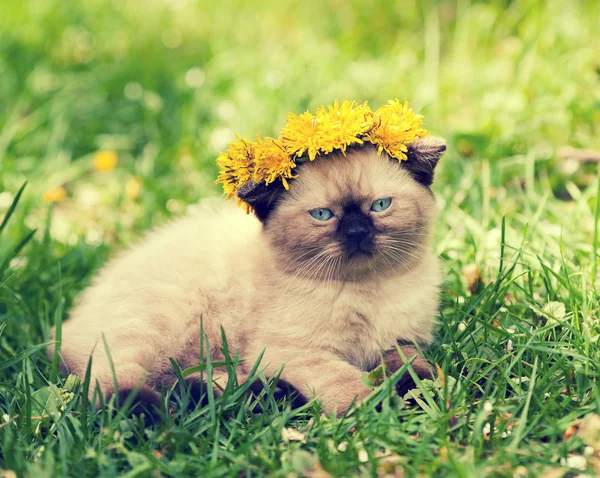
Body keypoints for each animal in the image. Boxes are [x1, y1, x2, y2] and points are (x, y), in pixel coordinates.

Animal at [52, 135, 446, 414]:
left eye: (380, 205)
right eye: (322, 215)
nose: (357, 232)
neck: (367, 289)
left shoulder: (400, 340)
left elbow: (413, 366)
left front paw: (421, 394)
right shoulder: (295, 351)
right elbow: (350, 385)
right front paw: (382, 410)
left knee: (181, 381)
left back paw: (264, 394)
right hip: (158, 324)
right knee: (110, 385)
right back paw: (148, 415)